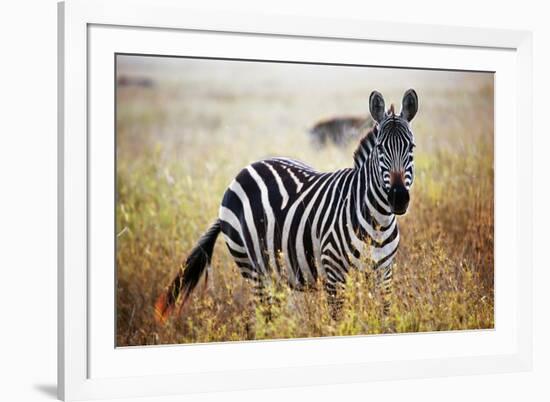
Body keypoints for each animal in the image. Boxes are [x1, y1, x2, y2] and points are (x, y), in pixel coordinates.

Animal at [153, 89, 420, 326]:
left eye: (412, 148)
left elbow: (383, 318)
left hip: (275, 272)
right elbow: (339, 323)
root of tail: (247, 168)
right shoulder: (334, 274)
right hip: (252, 268)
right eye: (380, 148)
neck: (378, 222)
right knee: (264, 318)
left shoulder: (384, 273)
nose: (398, 198)